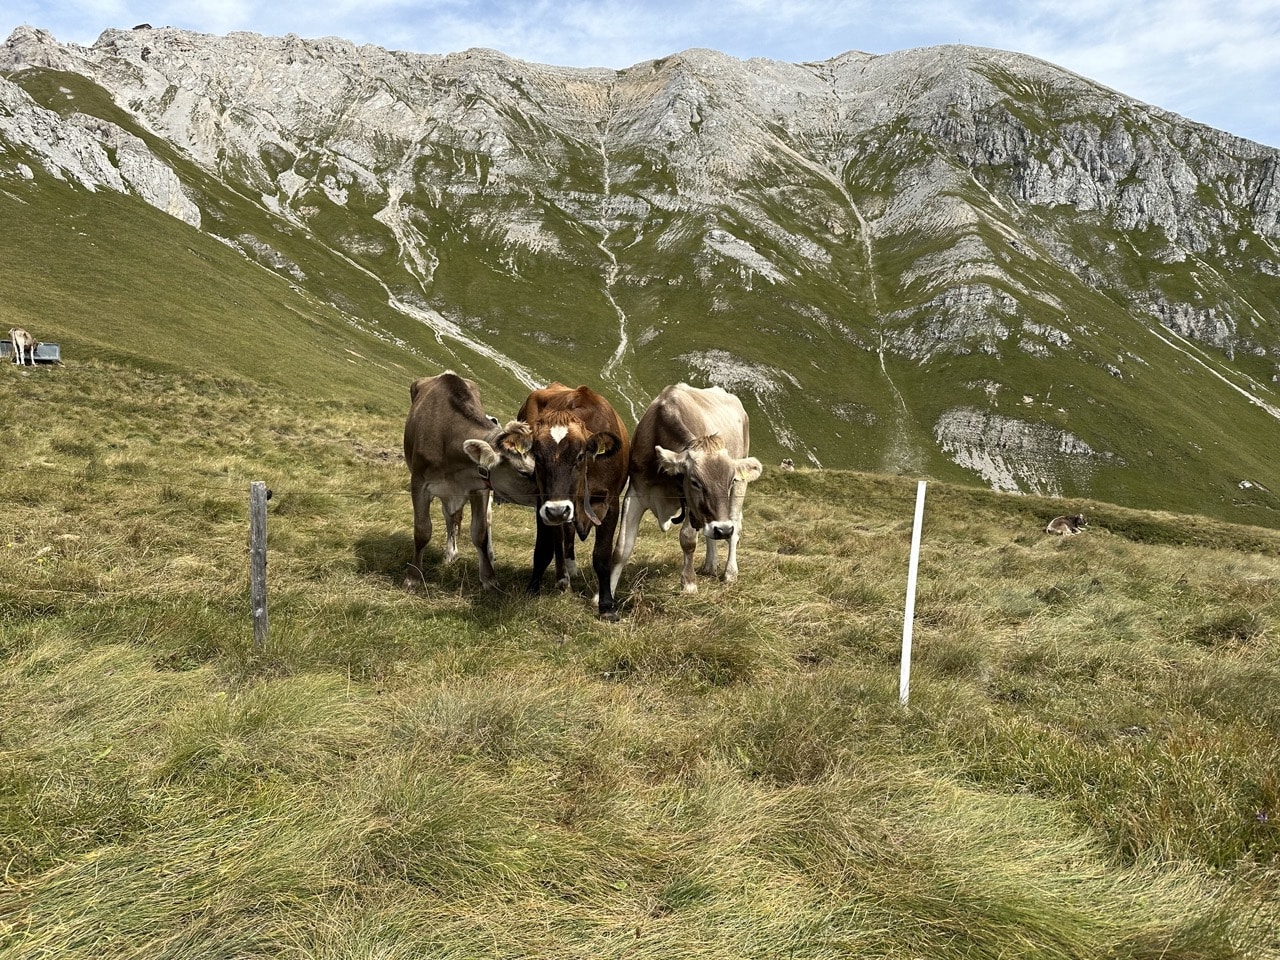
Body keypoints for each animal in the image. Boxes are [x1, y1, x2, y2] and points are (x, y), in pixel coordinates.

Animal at [401, 371, 537, 591]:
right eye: (523, 472)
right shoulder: (420, 484)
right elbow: (422, 531)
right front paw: (413, 577)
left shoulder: (479, 489)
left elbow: (480, 533)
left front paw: (489, 579)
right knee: (450, 516)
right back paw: (450, 553)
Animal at [471, 386, 629, 624]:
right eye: (536, 455)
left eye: (580, 455)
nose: (558, 509)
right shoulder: (543, 503)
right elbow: (543, 549)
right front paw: (532, 588)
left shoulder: (610, 504)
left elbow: (601, 556)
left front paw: (606, 605)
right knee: (560, 538)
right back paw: (563, 577)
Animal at [609, 381, 757, 593]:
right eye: (695, 481)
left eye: (729, 480)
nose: (722, 530)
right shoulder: (636, 493)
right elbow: (622, 548)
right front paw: (603, 595)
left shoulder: (690, 504)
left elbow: (688, 540)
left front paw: (689, 583)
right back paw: (710, 566)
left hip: (739, 487)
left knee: (735, 525)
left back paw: (730, 573)